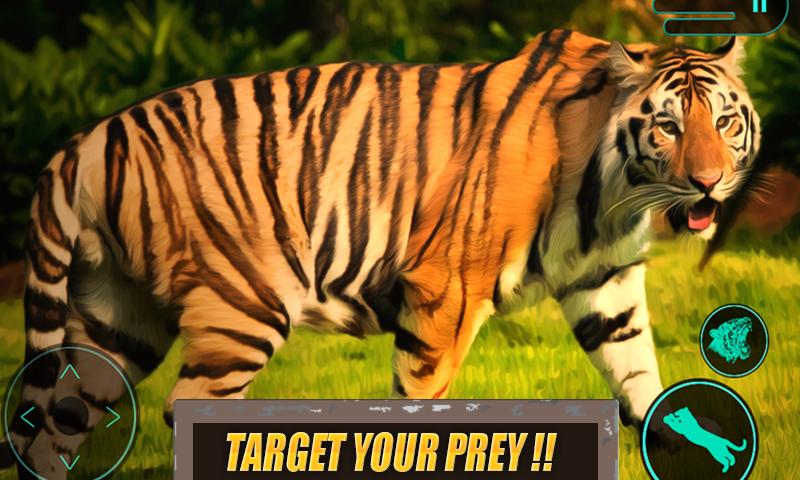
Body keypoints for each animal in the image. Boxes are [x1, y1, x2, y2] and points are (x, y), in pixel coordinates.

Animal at [1, 29, 762, 478]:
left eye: (725, 121)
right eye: (668, 127)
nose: (709, 181)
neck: (618, 193)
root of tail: (84, 142)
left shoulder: (606, 282)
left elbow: (639, 374)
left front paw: (680, 448)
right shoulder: (447, 289)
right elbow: (422, 403)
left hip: (117, 321)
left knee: (59, 418)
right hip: (244, 306)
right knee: (181, 407)